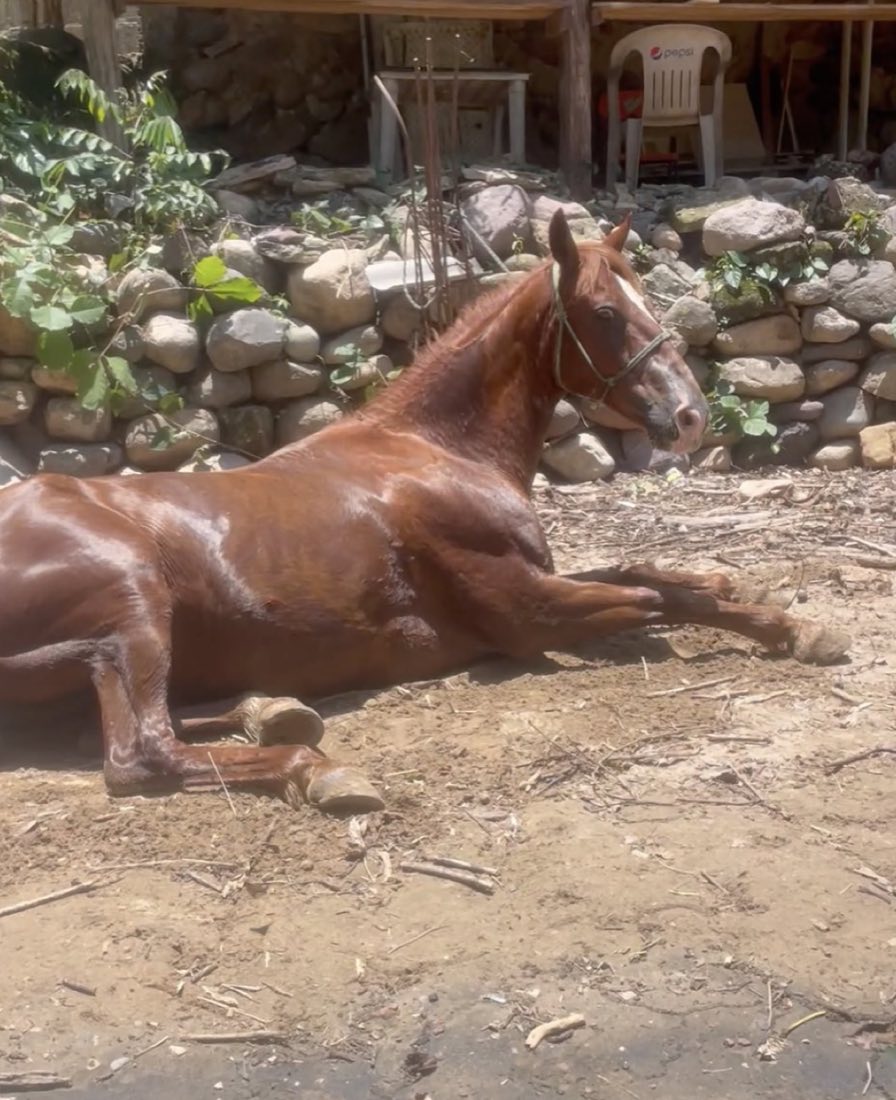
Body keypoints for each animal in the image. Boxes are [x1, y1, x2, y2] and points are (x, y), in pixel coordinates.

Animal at [0, 211, 849, 814]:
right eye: (606, 312)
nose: (691, 417)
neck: (435, 449)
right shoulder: (525, 612)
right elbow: (649, 599)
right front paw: (789, 627)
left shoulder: (539, 572)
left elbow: (652, 574)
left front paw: (758, 601)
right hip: (136, 599)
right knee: (140, 754)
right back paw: (320, 770)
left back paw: (275, 710)